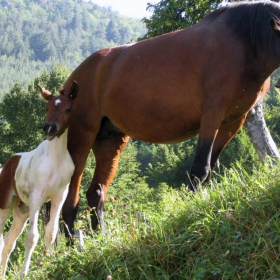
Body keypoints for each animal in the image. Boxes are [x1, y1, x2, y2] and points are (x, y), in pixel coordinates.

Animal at [0, 81, 77, 278]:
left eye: (68, 109)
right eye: (46, 107)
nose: (49, 129)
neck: (56, 159)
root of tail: (5, 167)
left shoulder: (59, 196)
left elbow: (51, 231)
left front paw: (49, 263)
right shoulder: (37, 196)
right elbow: (32, 236)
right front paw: (24, 272)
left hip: (21, 211)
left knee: (8, 243)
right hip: (5, 206)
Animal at [52, 1, 280, 241]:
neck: (244, 42)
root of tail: (72, 81)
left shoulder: (233, 121)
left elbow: (210, 169)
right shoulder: (212, 115)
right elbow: (200, 169)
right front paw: (192, 211)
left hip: (110, 141)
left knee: (96, 191)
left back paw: (102, 239)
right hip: (82, 137)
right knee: (69, 196)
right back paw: (70, 242)